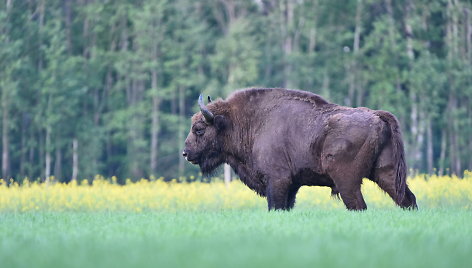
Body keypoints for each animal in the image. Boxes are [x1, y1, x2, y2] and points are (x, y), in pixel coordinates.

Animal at [183, 89, 414, 210]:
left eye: (199, 129)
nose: (185, 153)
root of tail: (376, 115)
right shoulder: (291, 186)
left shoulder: (277, 181)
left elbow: (275, 206)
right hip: (386, 175)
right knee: (406, 199)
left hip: (347, 182)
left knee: (358, 205)